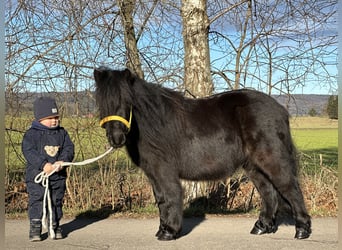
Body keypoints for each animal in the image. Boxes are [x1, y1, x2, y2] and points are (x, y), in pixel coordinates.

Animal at [93, 66, 310, 240]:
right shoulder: (153, 173)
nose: (116, 138)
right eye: (101, 103)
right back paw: (261, 227)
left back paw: (302, 230)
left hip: (271, 160)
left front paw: (169, 232)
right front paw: (163, 229)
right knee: (269, 193)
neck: (152, 122)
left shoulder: (164, 170)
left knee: (290, 188)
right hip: (254, 167)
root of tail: (280, 110)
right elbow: (161, 199)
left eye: (126, 100)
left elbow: (170, 196)